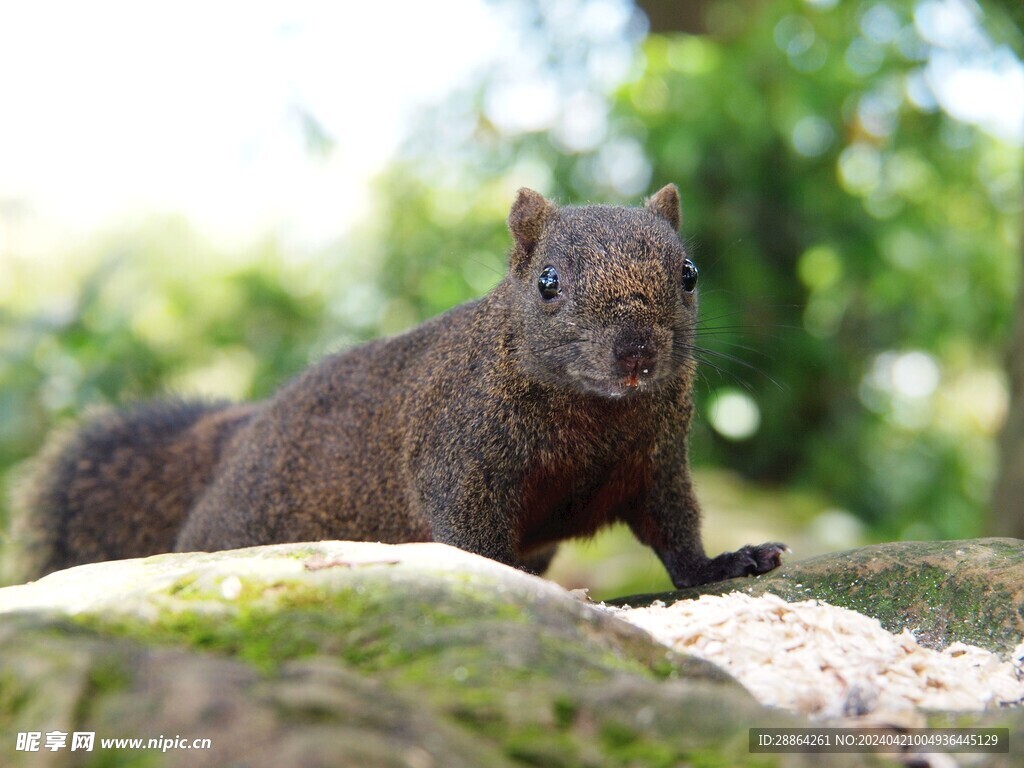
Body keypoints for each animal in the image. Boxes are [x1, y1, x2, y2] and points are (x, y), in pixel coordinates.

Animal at [9, 186, 782, 589]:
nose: (637, 354)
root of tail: (237, 440)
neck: (596, 414)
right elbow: (469, 532)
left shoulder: (654, 464)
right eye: (548, 283)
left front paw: (727, 561)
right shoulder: (458, 452)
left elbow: (675, 531)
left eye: (689, 275)